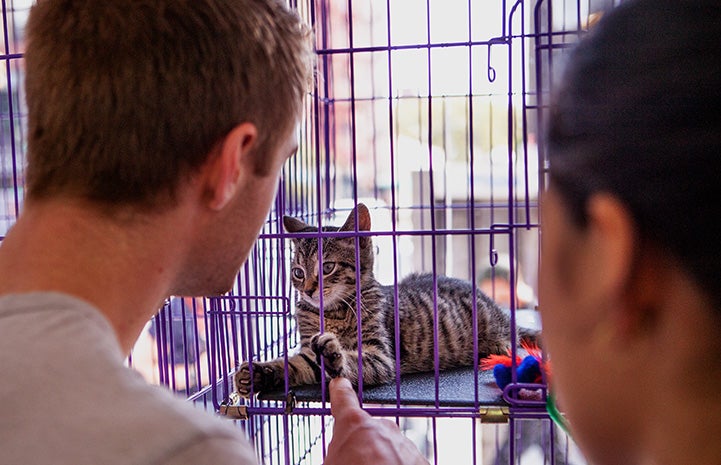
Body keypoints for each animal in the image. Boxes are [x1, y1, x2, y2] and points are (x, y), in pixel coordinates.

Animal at [233, 203, 536, 396]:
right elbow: (299, 363)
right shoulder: (308, 345)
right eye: (297, 272)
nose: (307, 290)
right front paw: (260, 373)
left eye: (328, 267)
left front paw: (333, 357)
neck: (332, 313)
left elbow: (351, 363)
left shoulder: (380, 355)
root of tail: (500, 313)